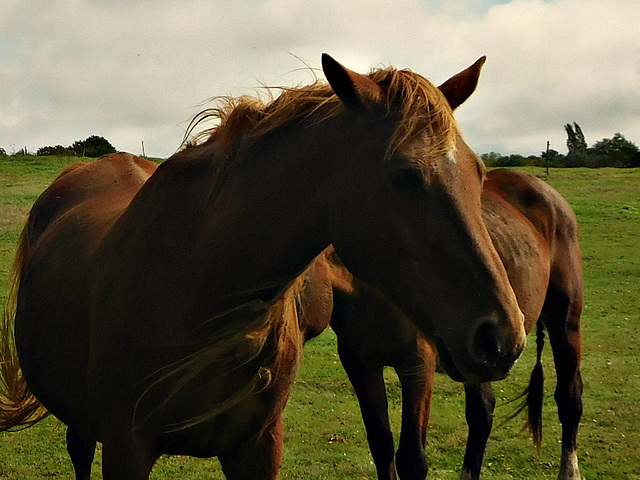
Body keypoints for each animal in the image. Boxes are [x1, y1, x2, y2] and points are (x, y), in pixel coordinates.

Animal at [0, 54, 524, 478]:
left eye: (479, 173)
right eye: (404, 176)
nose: (501, 336)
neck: (197, 284)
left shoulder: (258, 448)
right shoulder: (126, 449)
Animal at [304, 167, 584, 478]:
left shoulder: (417, 364)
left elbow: (412, 459)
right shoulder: (360, 363)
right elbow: (381, 445)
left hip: (564, 322)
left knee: (570, 398)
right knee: (482, 413)